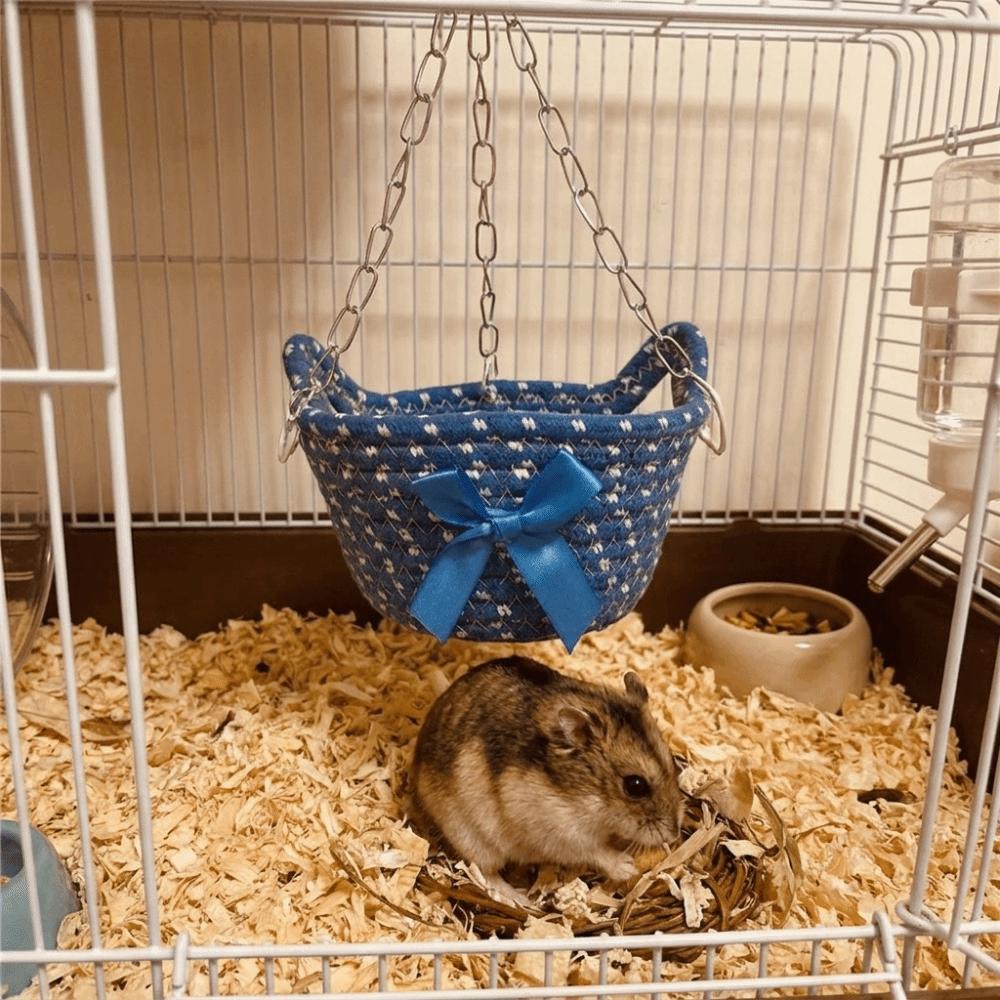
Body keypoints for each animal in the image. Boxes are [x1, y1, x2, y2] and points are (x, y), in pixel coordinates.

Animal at [410, 656, 685, 906]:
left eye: (673, 760)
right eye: (635, 786)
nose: (673, 835)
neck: (589, 798)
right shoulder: (559, 831)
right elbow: (594, 850)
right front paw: (627, 866)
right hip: (471, 837)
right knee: (486, 873)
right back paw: (522, 900)